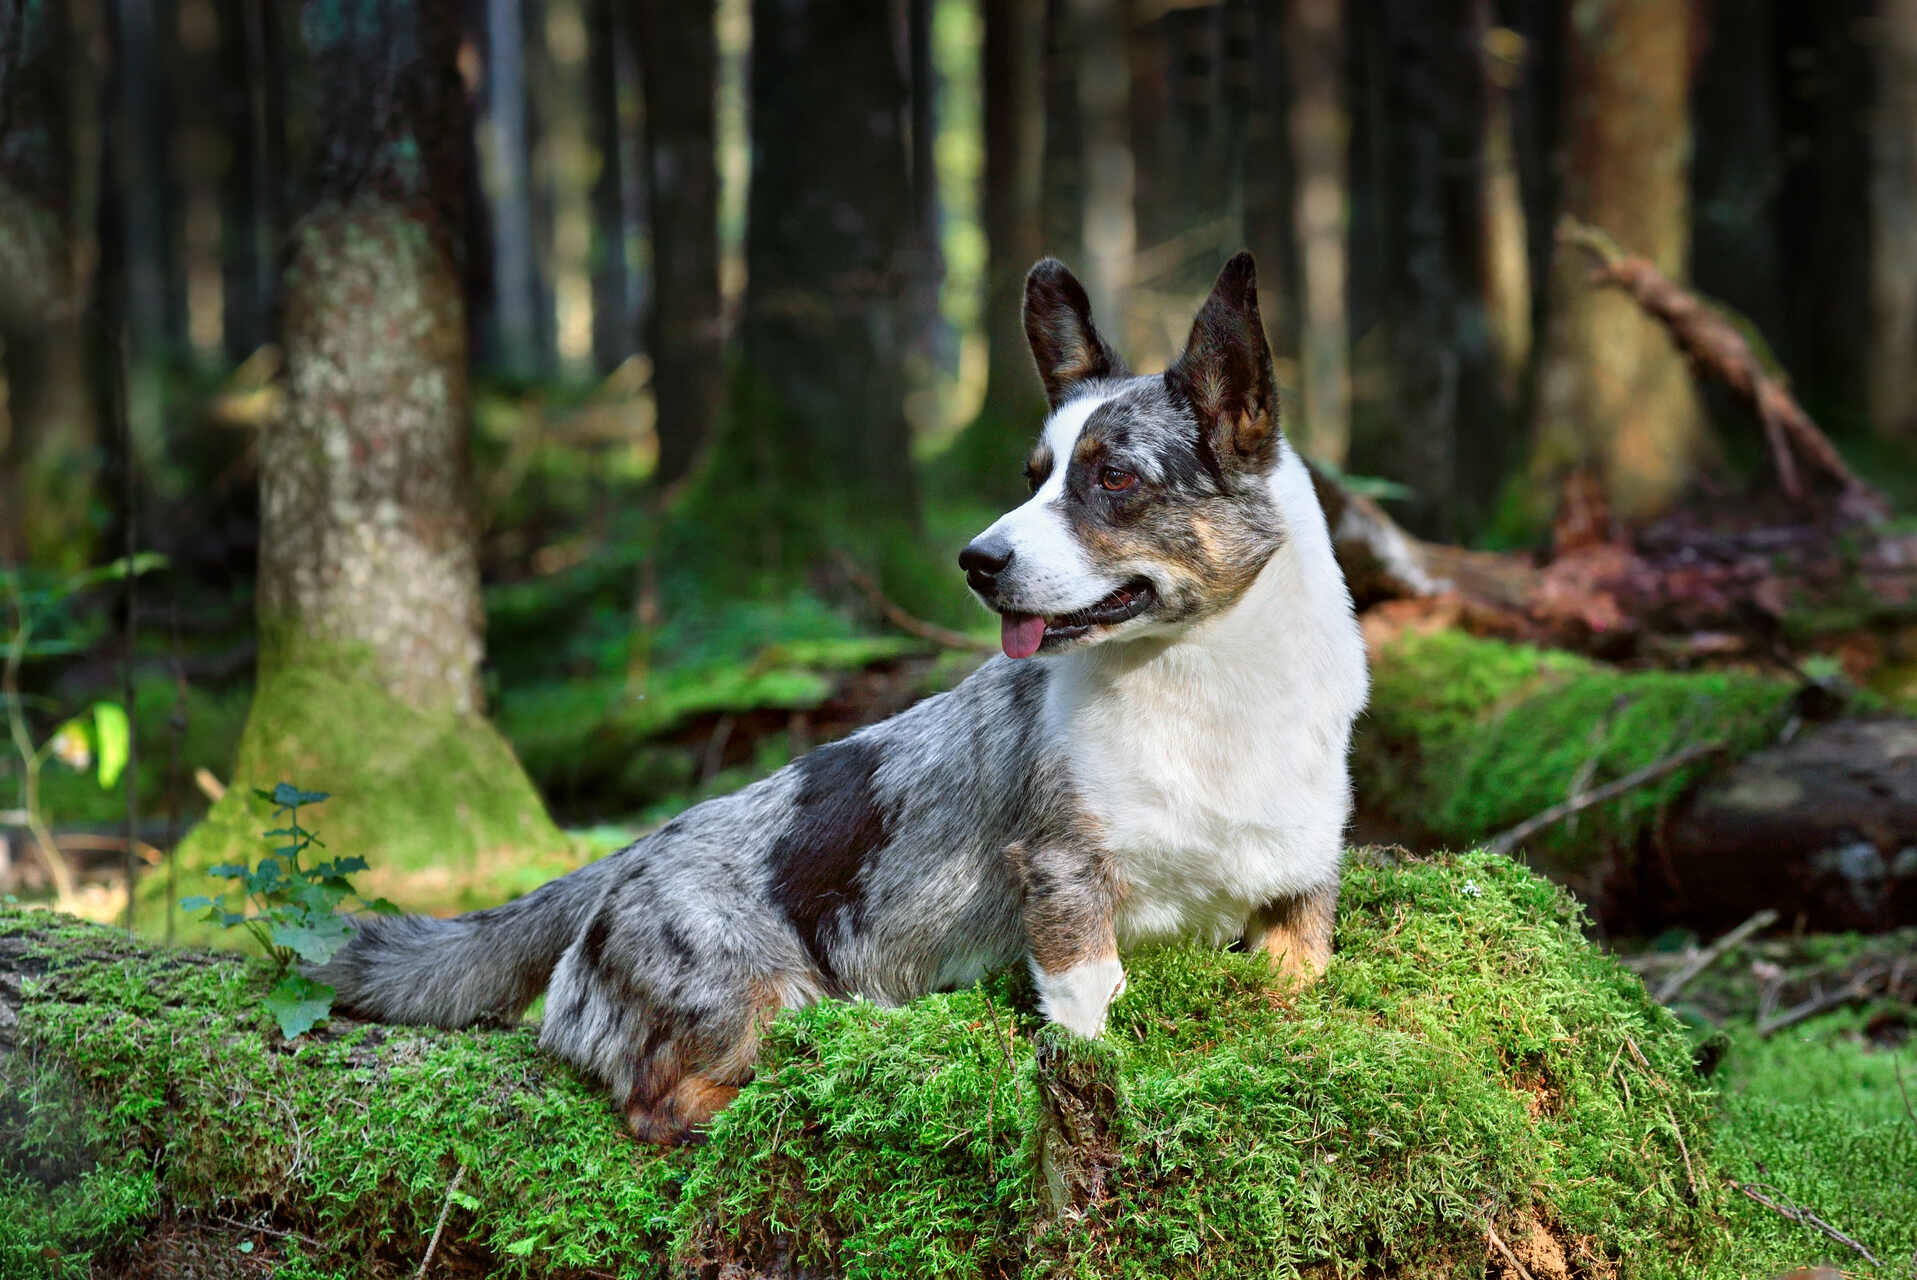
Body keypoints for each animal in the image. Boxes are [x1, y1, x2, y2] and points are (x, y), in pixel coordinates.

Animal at [310, 254, 1364, 1142]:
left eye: (1113, 477)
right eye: (1032, 478)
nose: (976, 563)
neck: (1202, 679)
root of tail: (618, 863)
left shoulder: (1301, 885)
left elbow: (1297, 977)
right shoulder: (1064, 876)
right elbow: (1087, 1008)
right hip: (744, 998)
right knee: (668, 1103)